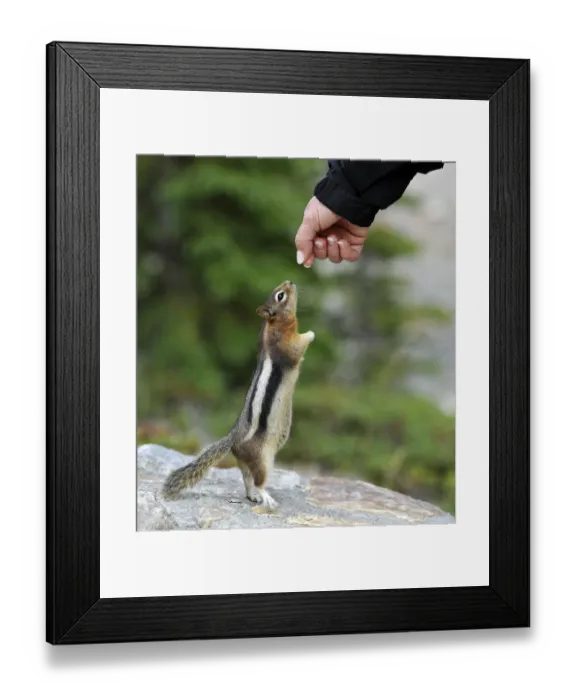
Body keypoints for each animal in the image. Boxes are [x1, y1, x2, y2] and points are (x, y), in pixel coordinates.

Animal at [161, 280, 315, 509]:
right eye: (280, 295)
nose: (290, 281)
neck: (272, 325)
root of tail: (233, 439)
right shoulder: (287, 346)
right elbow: (300, 344)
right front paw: (312, 333)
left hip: (244, 464)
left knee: (247, 481)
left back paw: (254, 497)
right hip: (263, 460)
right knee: (258, 481)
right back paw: (266, 498)